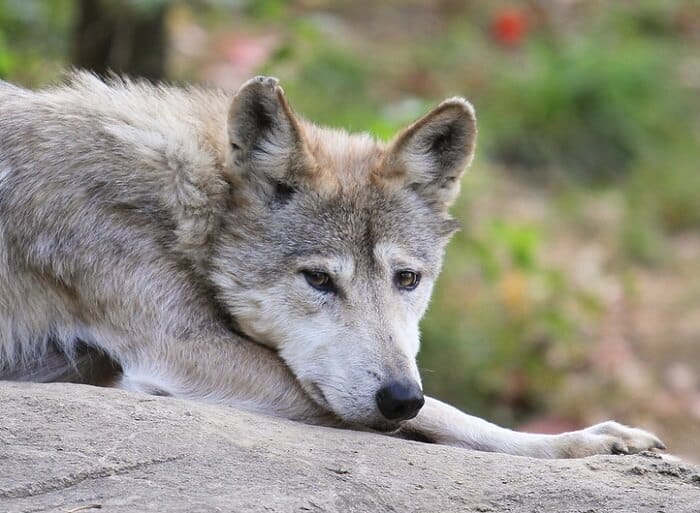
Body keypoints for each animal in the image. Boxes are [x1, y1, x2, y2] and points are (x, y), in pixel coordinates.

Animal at [0, 73, 664, 458]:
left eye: (407, 279)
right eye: (318, 279)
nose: (399, 396)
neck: (185, 204)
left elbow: (440, 410)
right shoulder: (182, 350)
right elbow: (447, 411)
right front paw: (575, 443)